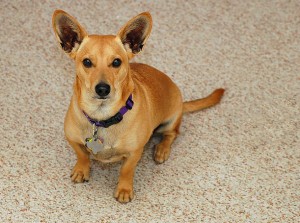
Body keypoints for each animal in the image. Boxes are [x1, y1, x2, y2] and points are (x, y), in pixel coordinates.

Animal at [52, 9, 224, 203]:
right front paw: (82, 169)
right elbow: (82, 156)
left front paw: (124, 189)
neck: (102, 117)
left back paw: (161, 150)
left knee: (172, 134)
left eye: (116, 62)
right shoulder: (73, 140)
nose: (103, 89)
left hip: (170, 121)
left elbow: (126, 171)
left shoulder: (134, 153)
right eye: (87, 62)